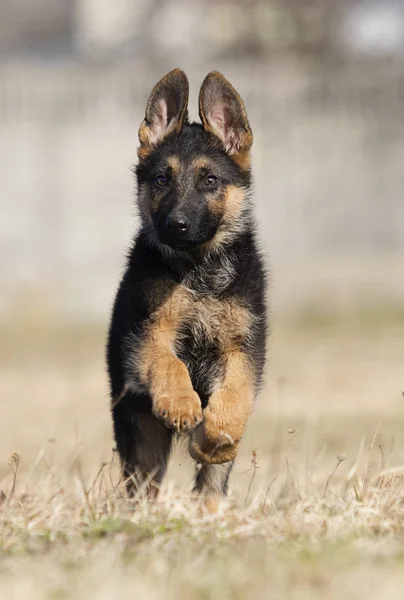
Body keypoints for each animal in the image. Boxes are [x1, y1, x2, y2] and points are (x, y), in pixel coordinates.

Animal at [105, 68, 266, 504]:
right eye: (162, 179)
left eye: (209, 180)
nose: (176, 224)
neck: (199, 272)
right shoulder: (148, 332)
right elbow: (168, 363)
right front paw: (180, 403)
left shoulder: (243, 347)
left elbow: (235, 397)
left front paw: (213, 437)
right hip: (138, 431)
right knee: (141, 480)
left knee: (212, 484)